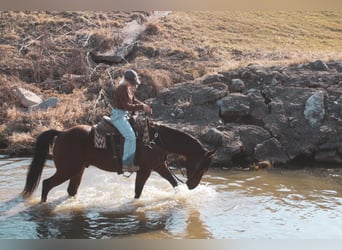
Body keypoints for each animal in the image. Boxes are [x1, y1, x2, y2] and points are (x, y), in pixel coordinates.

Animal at [21, 118, 215, 202]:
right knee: (46, 184)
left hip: (77, 170)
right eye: (202, 167)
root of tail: (61, 133)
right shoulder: (145, 170)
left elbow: (173, 182)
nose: (192, 186)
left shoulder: (159, 166)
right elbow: (138, 191)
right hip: (66, 170)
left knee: (71, 190)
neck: (156, 140)